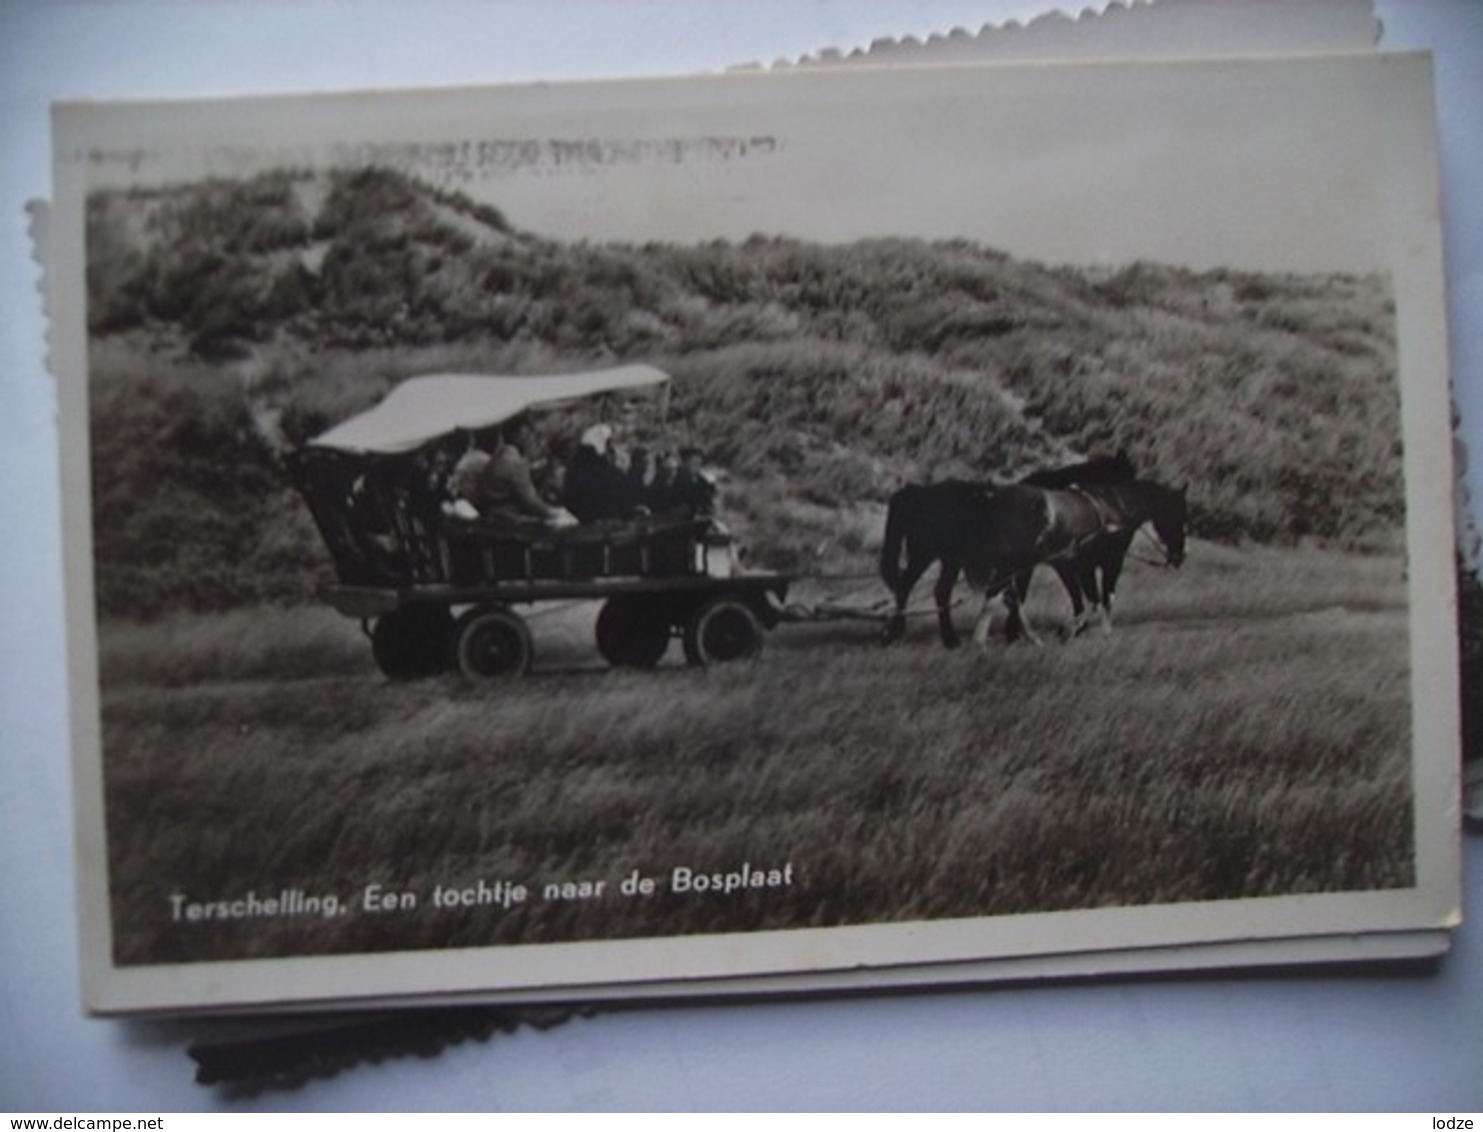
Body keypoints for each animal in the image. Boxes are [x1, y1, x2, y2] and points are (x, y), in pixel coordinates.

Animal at [877, 448, 1133, 646]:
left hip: (947, 559)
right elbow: (1068, 593)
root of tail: (916, 493)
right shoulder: (1059, 563)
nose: (1125, 533)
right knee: (909, 586)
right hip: (927, 554)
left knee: (934, 590)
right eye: (1123, 480)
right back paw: (909, 634)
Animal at [960, 480, 1192, 649]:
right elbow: (1102, 598)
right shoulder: (1109, 561)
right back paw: (980, 641)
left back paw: (1031, 638)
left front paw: (1076, 631)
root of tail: (993, 500)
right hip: (1015, 563)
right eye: (1179, 516)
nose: (1179, 557)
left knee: (1009, 597)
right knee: (998, 595)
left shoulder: (1076, 566)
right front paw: (1093, 632)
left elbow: (1086, 600)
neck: (1115, 509)